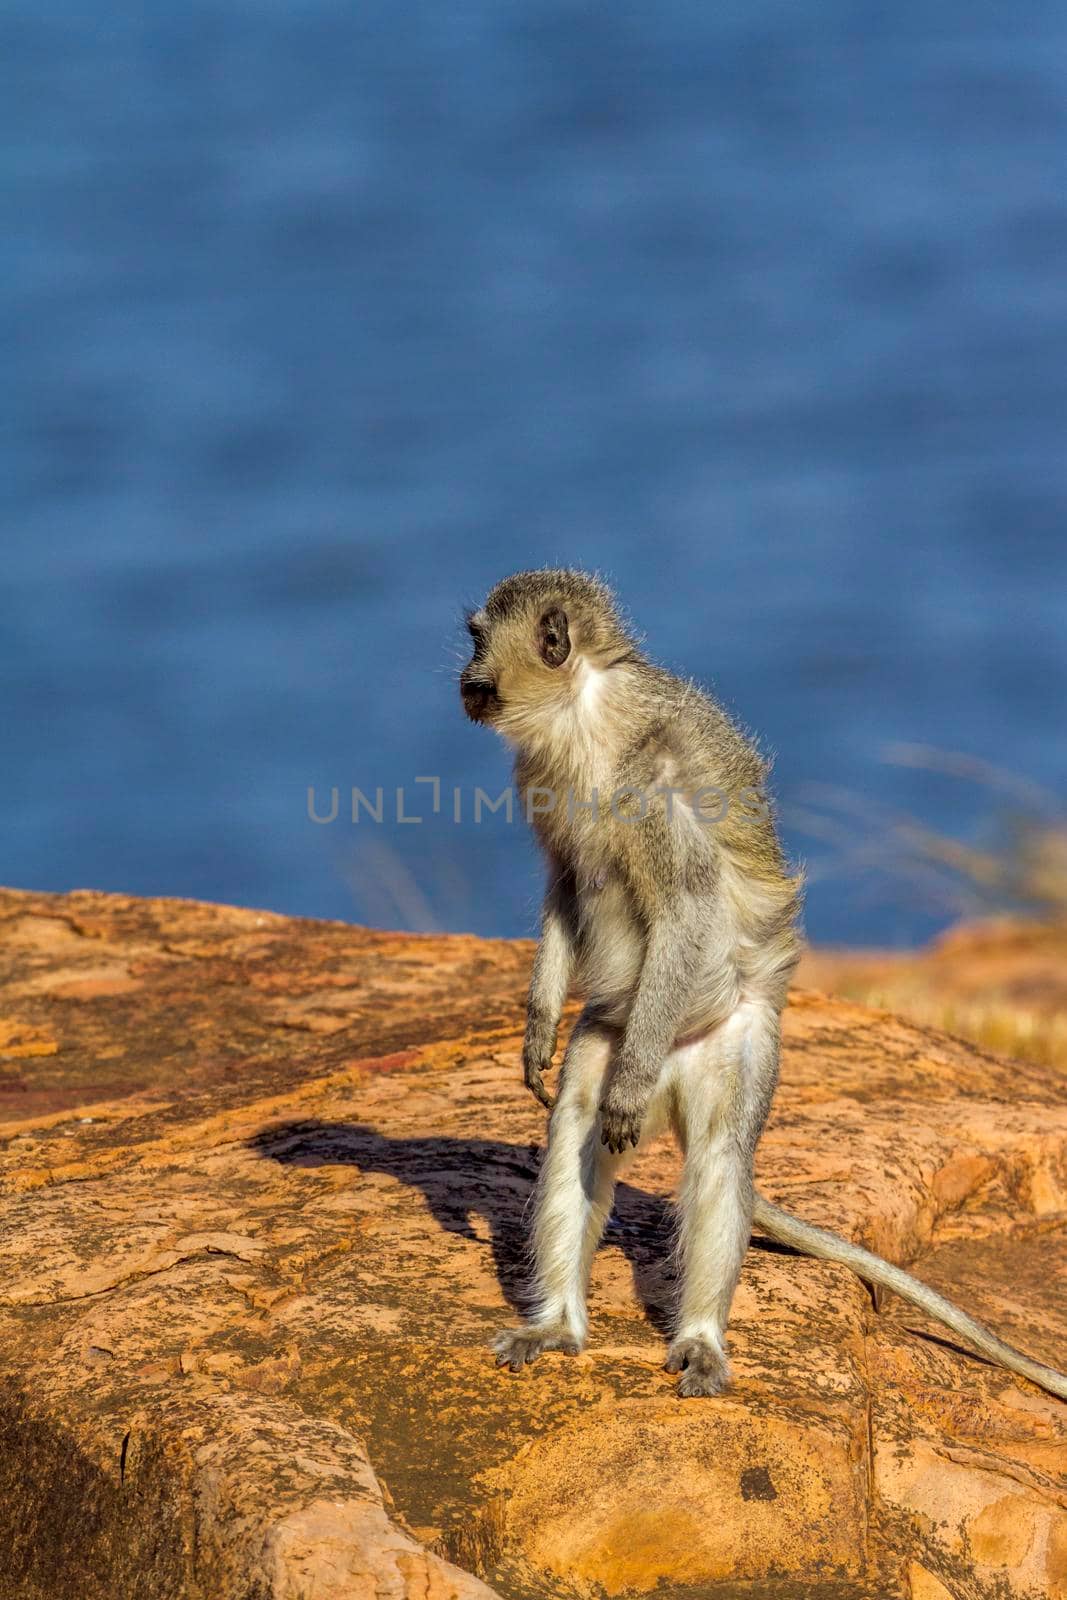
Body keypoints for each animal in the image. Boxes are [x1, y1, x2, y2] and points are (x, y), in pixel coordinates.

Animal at [460, 569, 1067, 1395]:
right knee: (575, 1130)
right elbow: (561, 885)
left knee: (717, 1158)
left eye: (479, 641)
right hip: (608, 1033)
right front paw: (536, 1028)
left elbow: (684, 907)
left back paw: (698, 1336)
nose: (466, 680)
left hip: (729, 1042)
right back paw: (556, 1325)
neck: (583, 711)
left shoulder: (650, 790)